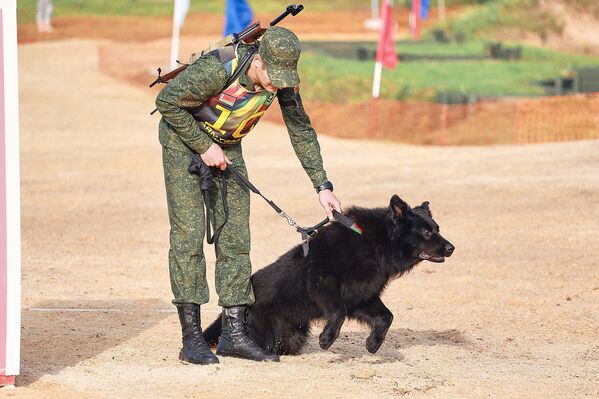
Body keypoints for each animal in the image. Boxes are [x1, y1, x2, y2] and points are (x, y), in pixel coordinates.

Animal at [204, 195, 458, 354]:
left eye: (437, 229)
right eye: (426, 232)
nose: (451, 248)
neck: (375, 242)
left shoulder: (362, 296)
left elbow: (387, 317)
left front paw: (373, 343)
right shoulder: (324, 282)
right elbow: (338, 312)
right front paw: (327, 338)